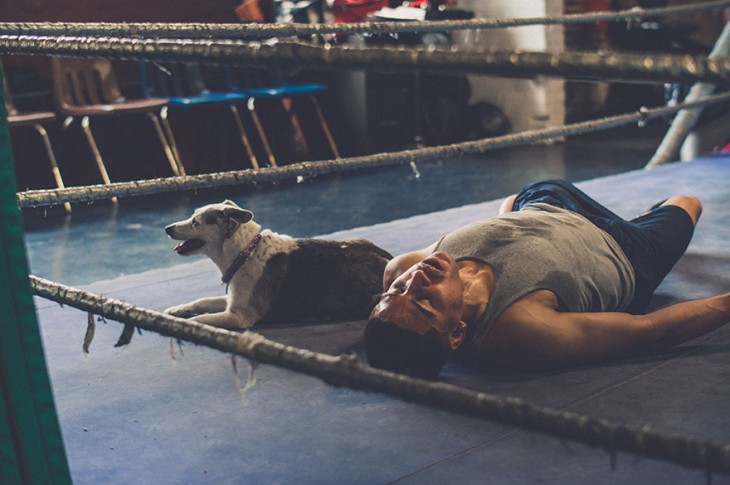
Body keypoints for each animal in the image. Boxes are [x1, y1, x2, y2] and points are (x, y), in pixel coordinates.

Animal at [164, 198, 392, 328]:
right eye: (192, 217)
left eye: (195, 222)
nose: (167, 228)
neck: (245, 253)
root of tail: (388, 259)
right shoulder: (232, 301)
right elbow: (202, 301)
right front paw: (176, 310)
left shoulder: (238, 316)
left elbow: (200, 321)